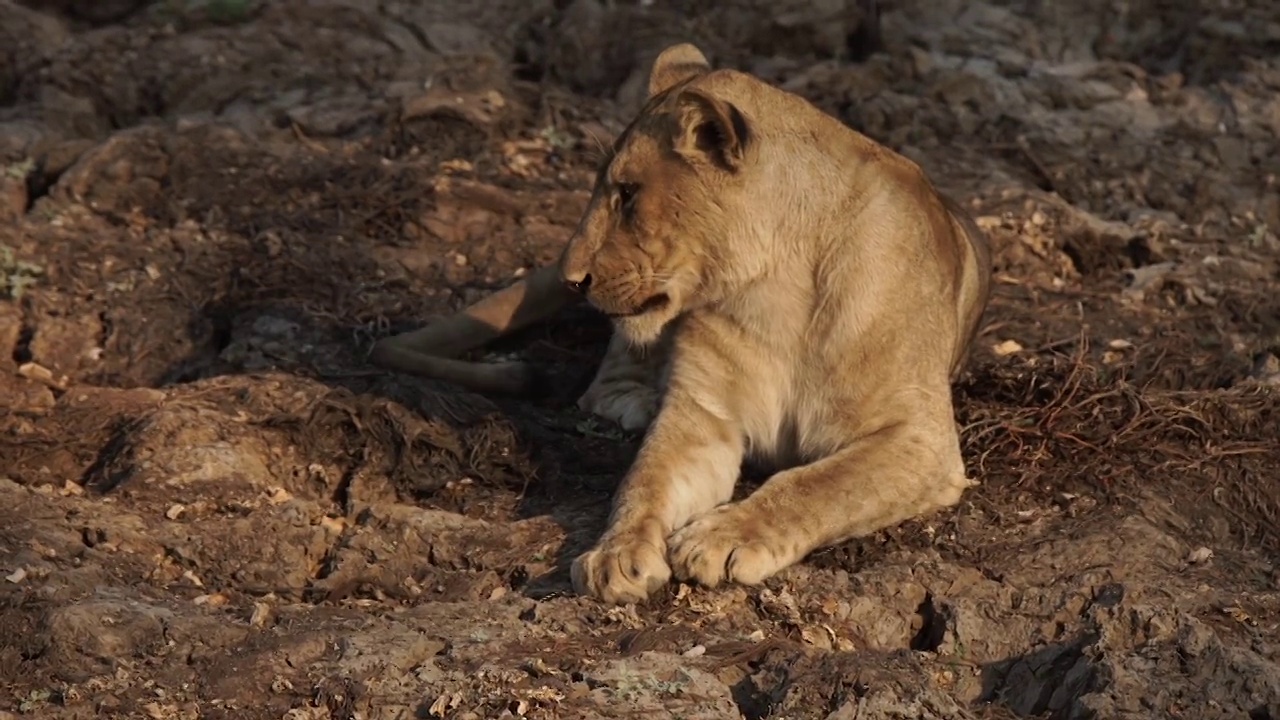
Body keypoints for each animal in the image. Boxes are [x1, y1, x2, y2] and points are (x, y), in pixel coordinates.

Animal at [371, 39, 988, 599]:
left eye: (627, 194)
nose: (572, 277)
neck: (775, 294)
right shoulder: (701, 414)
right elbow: (644, 481)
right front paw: (614, 553)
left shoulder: (920, 441)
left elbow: (818, 483)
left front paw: (723, 537)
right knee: (605, 381)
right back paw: (639, 402)